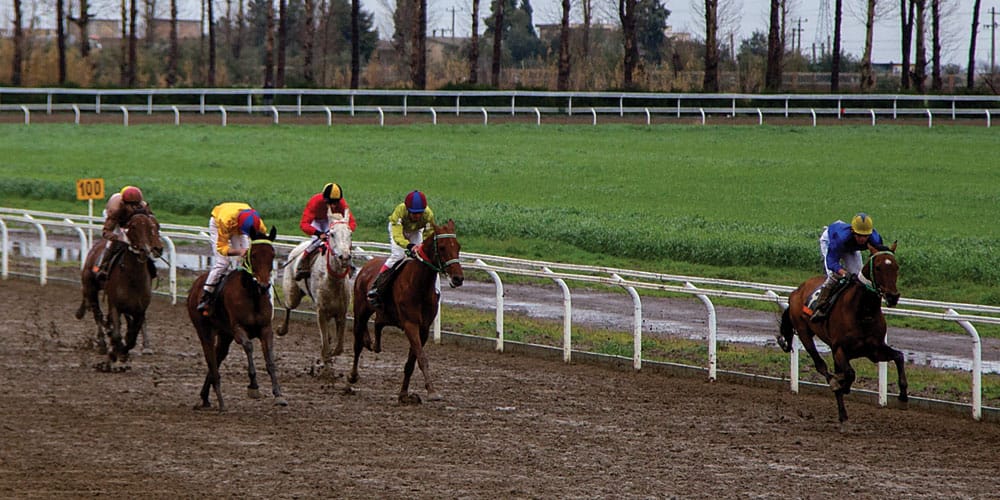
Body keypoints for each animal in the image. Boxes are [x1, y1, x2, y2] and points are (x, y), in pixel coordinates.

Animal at [74, 212, 161, 372]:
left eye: (154, 227)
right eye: (133, 227)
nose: (146, 249)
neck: (133, 277)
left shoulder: (140, 309)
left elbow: (131, 336)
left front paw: (124, 352)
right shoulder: (115, 305)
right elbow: (116, 333)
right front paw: (115, 352)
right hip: (91, 289)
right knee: (98, 315)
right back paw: (102, 343)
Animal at [186, 229, 286, 412]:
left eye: (272, 254)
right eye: (253, 255)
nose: (264, 286)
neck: (252, 294)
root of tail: (196, 285)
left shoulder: (266, 329)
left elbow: (270, 360)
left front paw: (278, 394)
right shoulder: (238, 329)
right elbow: (249, 346)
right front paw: (253, 386)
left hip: (225, 336)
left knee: (218, 356)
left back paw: (205, 397)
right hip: (205, 331)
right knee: (211, 359)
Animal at [276, 211, 354, 372]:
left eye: (350, 233)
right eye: (332, 234)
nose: (345, 257)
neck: (332, 280)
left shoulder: (341, 312)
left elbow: (339, 347)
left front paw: (330, 354)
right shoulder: (321, 311)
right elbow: (325, 345)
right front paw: (325, 360)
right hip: (292, 294)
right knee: (288, 306)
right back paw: (282, 329)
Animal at [350, 221, 462, 404]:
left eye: (458, 246)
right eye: (443, 247)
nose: (458, 278)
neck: (420, 286)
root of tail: (365, 267)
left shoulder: (423, 328)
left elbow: (412, 362)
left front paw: (404, 395)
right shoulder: (410, 325)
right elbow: (422, 358)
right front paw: (432, 391)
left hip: (386, 315)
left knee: (378, 324)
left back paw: (373, 343)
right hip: (361, 312)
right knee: (358, 344)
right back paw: (352, 375)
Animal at [776, 242, 912, 426]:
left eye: (896, 267)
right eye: (878, 267)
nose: (893, 296)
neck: (863, 311)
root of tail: (797, 291)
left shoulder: (874, 350)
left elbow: (899, 356)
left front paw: (903, 395)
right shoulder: (840, 349)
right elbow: (850, 374)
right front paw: (842, 384)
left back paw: (842, 414)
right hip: (804, 333)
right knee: (821, 365)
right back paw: (835, 384)